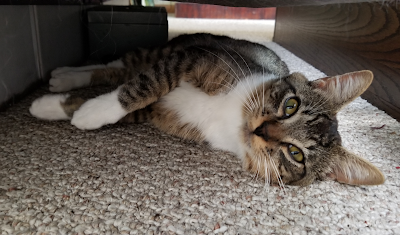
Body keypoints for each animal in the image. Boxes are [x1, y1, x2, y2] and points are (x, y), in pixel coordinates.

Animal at [28, 33, 384, 187]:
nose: (261, 129)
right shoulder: (194, 58)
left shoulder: (160, 114)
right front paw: (88, 109)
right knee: (120, 66)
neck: (230, 115)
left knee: (120, 71)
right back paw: (65, 74)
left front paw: (67, 110)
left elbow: (135, 101)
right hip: (175, 47)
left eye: (296, 154)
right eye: (291, 105)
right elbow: (146, 85)